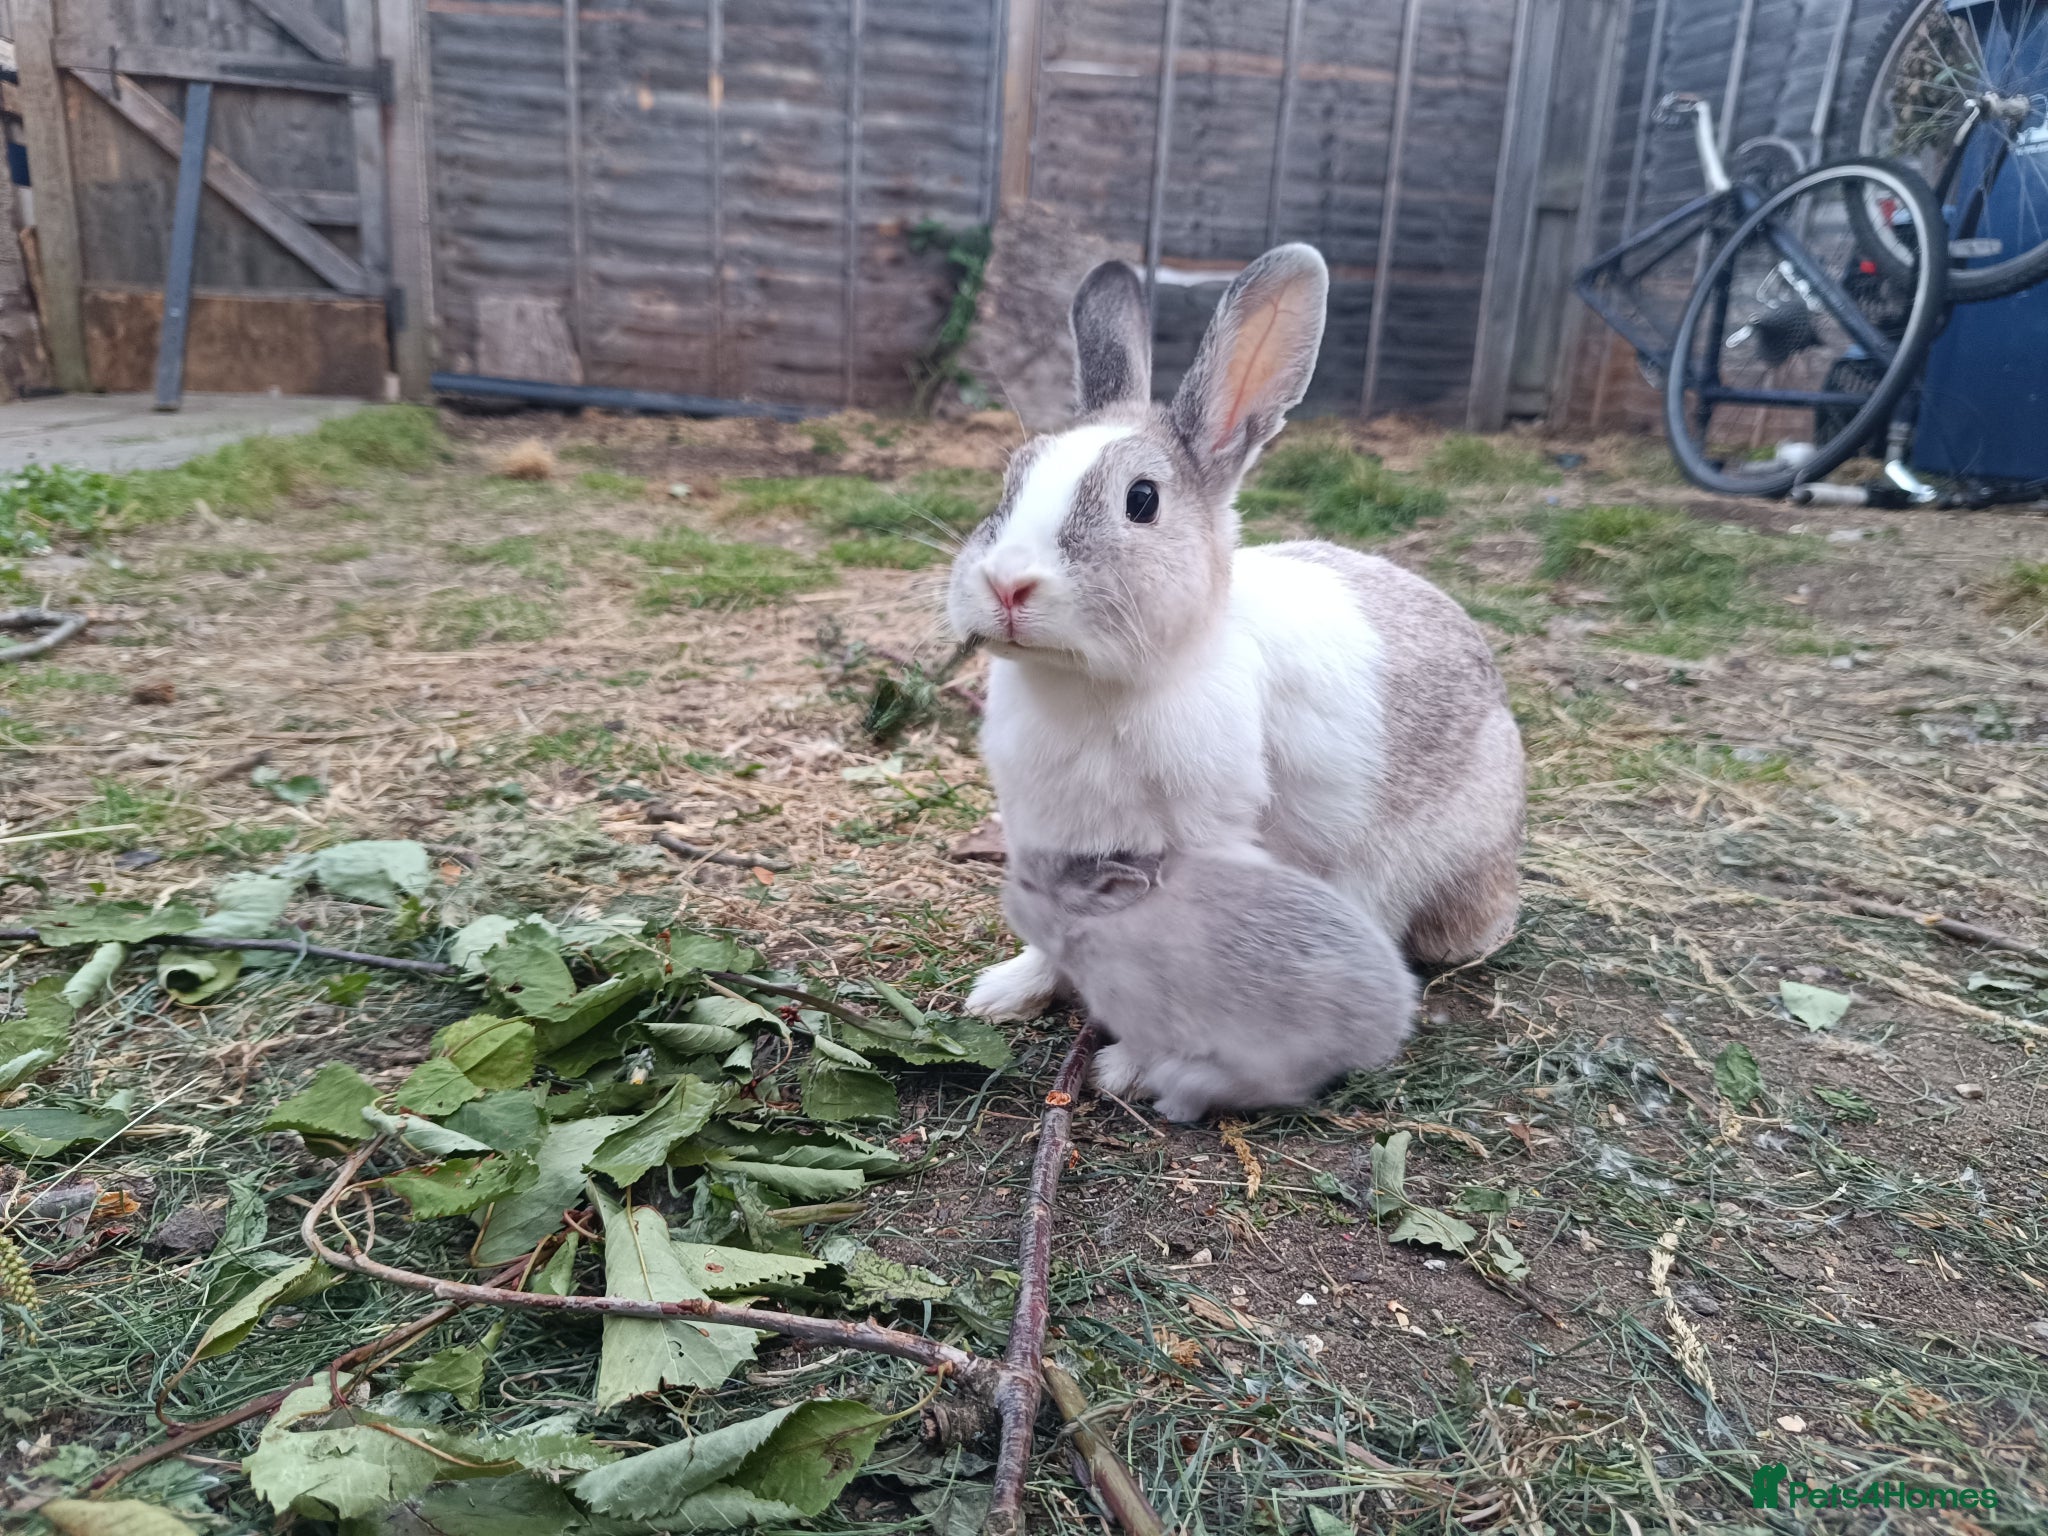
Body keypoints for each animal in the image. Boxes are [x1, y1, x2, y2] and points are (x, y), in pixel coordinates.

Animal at [1003, 844, 1419, 1122]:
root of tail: (1391, 1023)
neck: (1099, 927)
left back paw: (1170, 1103)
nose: (1004, 894)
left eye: (1027, 885)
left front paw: (1107, 1069)